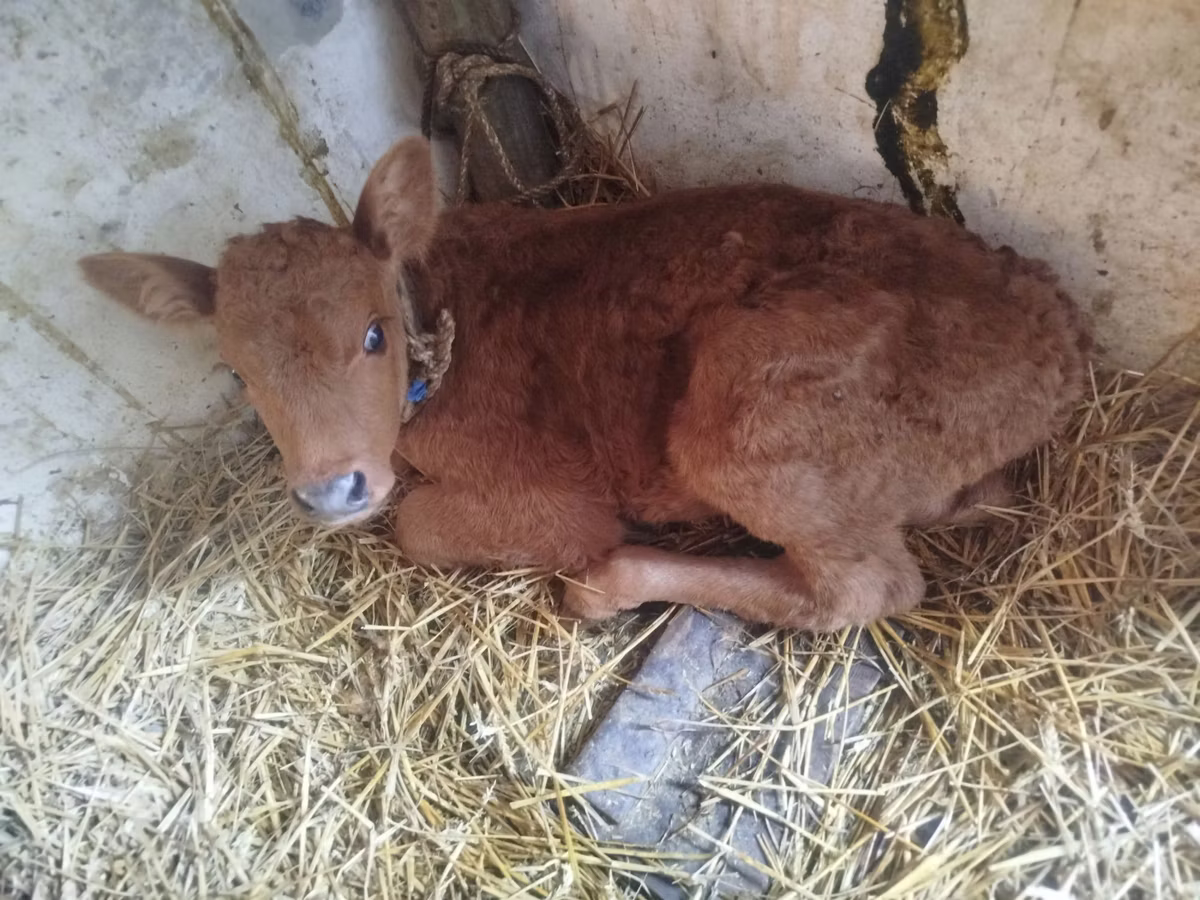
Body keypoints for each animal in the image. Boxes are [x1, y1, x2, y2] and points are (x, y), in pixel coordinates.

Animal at [79, 137, 1090, 631]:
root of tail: (1052, 322)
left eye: (371, 334)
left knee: (862, 588)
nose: (332, 489)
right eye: (238, 370)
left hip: (751, 415)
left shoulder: (552, 499)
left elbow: (419, 524)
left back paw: (612, 583)